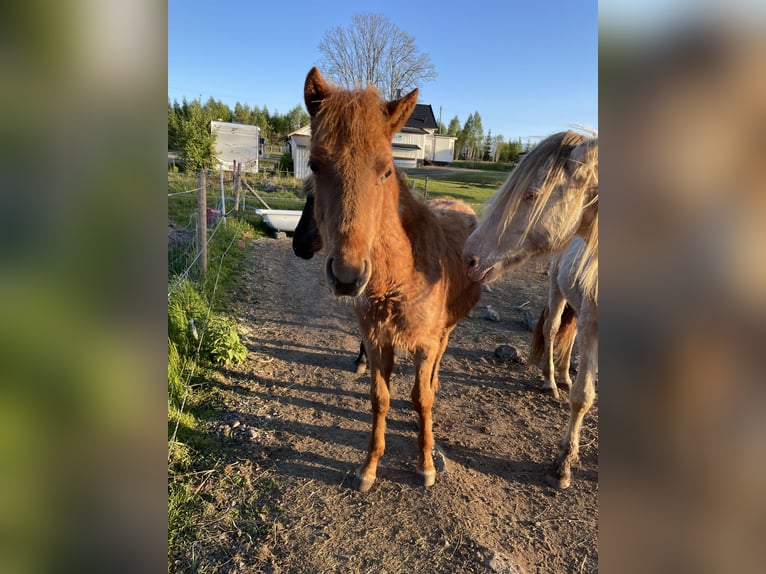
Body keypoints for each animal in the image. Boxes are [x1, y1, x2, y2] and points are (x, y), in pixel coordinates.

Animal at [304, 66, 482, 492]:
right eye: (315, 165)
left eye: (385, 169)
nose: (348, 276)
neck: (400, 279)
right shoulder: (377, 342)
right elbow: (379, 398)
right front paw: (369, 468)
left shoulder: (424, 345)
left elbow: (421, 400)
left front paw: (426, 465)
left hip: (446, 331)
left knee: (436, 368)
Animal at [462, 130, 598, 490]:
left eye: (532, 194)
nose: (468, 258)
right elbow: (582, 396)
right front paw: (563, 464)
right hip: (557, 290)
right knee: (553, 329)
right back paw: (551, 381)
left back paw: (563, 375)